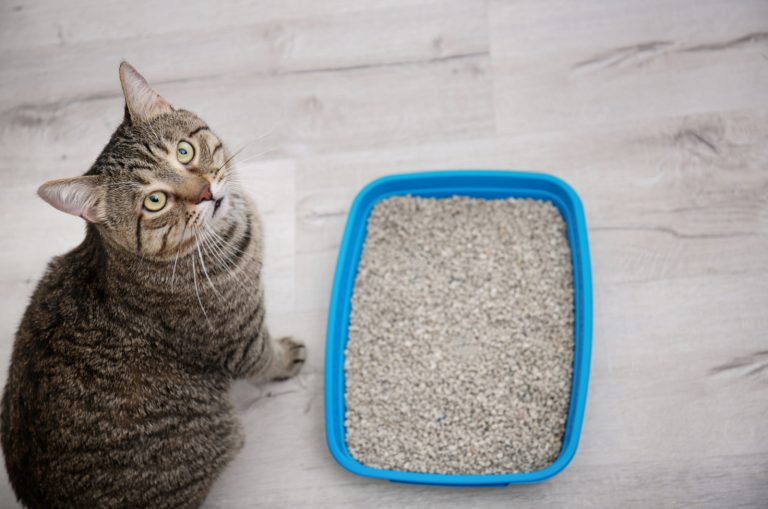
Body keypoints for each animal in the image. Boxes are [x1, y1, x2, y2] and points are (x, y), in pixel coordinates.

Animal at [0, 62, 306, 508]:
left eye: (184, 151)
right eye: (155, 201)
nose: (207, 193)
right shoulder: (238, 339)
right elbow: (266, 359)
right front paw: (286, 356)